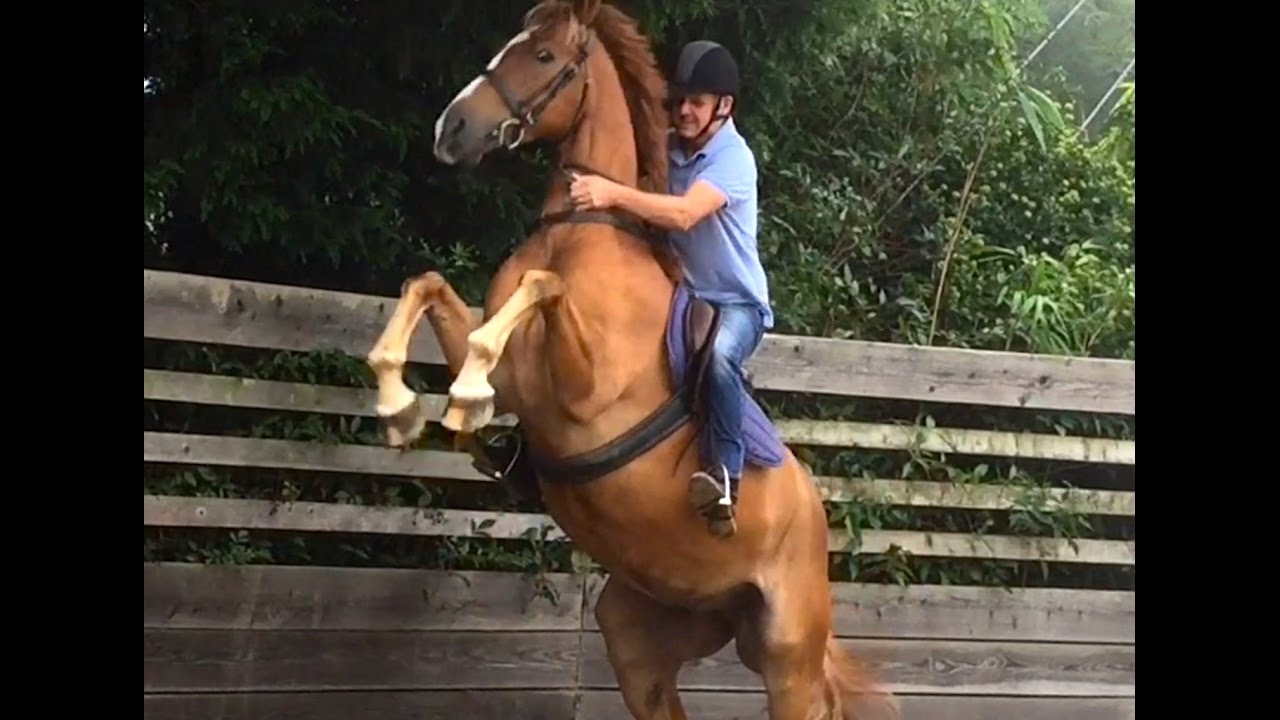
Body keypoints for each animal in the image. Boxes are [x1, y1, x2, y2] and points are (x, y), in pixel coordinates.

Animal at [365, 1, 900, 718]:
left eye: (541, 56)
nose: (451, 129)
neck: (582, 232)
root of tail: (817, 527)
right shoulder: (517, 383)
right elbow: (426, 285)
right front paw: (398, 405)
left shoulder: (585, 390)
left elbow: (542, 290)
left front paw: (461, 401)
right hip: (645, 631)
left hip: (788, 659)